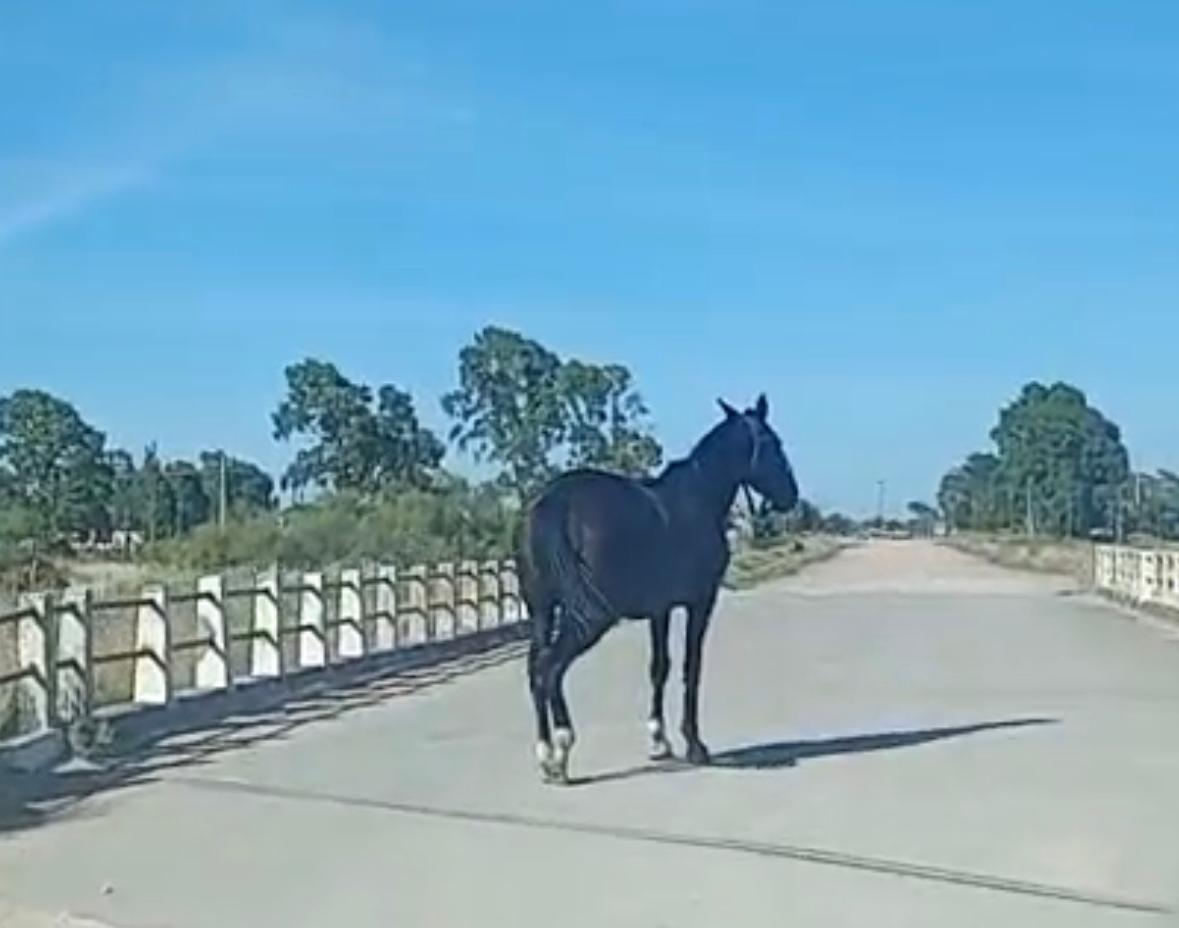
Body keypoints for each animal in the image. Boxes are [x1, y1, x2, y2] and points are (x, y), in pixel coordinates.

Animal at [518, 393, 800, 784]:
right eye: (774, 443)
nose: (790, 495)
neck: (698, 498)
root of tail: (554, 504)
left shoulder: (659, 609)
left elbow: (659, 667)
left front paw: (659, 741)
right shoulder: (701, 602)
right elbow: (691, 666)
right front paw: (695, 744)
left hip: (541, 610)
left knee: (535, 670)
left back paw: (545, 753)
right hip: (588, 616)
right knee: (550, 669)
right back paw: (560, 752)